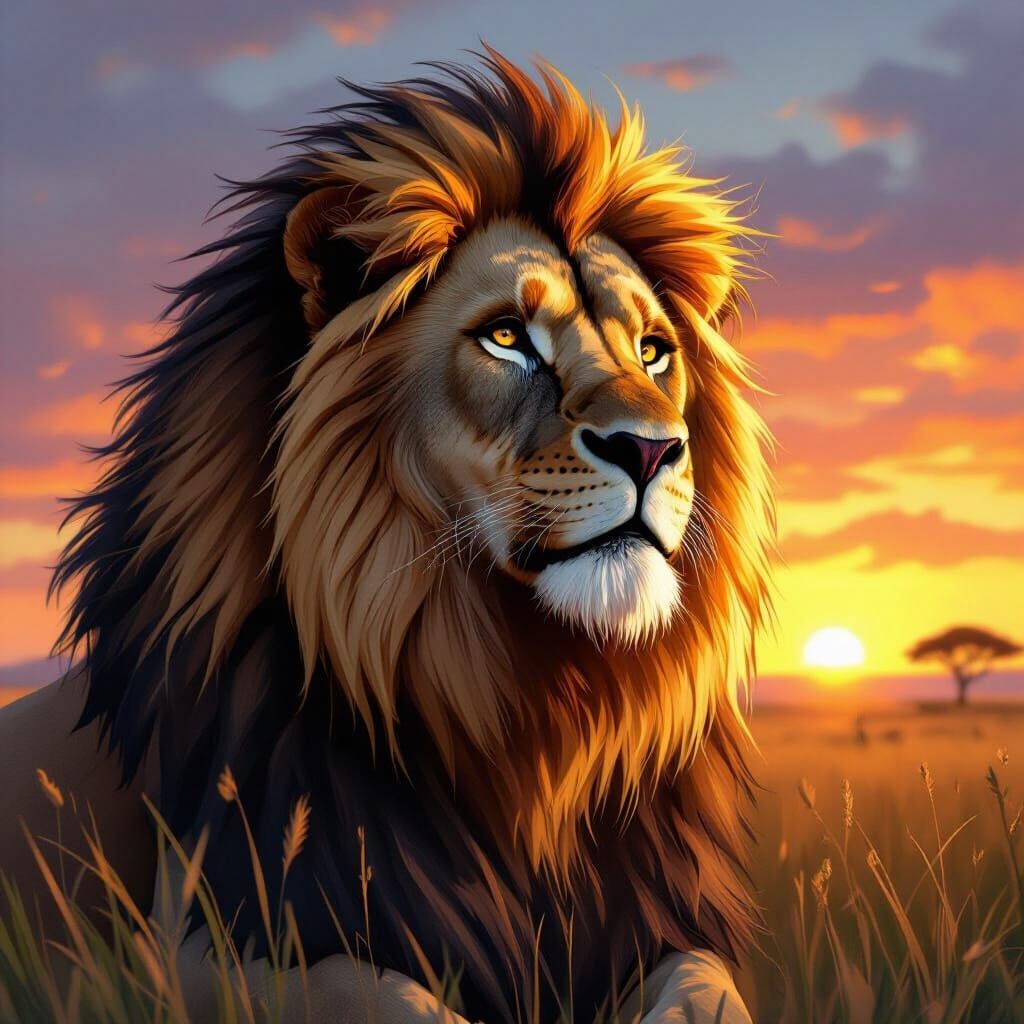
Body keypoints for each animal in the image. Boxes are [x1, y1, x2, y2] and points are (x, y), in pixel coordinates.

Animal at [0, 51, 774, 1023]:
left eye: (653, 349)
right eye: (507, 337)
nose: (653, 447)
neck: (522, 712)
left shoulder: (661, 922)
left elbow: (706, 989)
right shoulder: (199, 942)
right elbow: (389, 997)